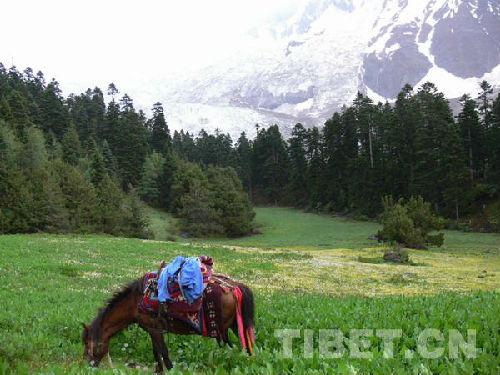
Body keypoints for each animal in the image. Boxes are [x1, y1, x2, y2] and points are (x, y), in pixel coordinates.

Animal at [82, 274, 256, 374]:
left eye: (89, 344)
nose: (88, 365)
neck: (136, 301)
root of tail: (235, 287)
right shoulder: (152, 329)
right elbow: (156, 352)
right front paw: (158, 370)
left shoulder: (155, 329)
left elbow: (163, 352)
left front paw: (171, 369)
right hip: (235, 326)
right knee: (244, 349)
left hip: (224, 330)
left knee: (232, 349)